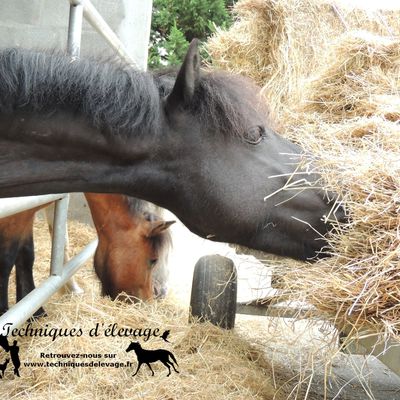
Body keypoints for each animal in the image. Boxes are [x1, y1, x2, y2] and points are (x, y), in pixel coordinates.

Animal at [0, 194, 173, 316]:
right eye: (153, 260)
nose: (150, 301)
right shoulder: (16, 215)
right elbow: (6, 262)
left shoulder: (27, 213)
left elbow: (27, 255)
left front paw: (35, 312)